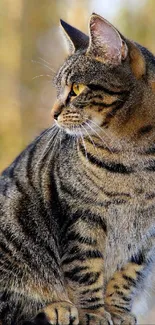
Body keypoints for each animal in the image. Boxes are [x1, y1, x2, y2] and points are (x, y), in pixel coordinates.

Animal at [0, 12, 155, 324]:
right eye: (59, 89)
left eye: (77, 89)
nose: (52, 113)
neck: (137, 158)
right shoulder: (82, 215)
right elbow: (85, 269)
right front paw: (94, 313)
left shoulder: (146, 235)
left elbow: (128, 273)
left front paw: (117, 311)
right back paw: (55, 306)